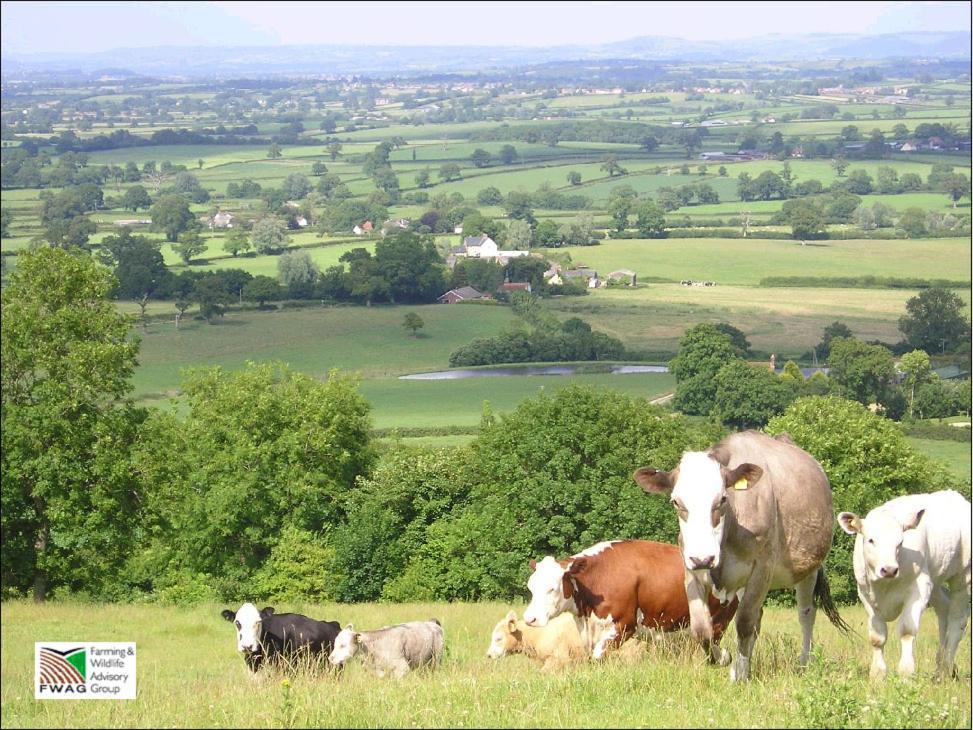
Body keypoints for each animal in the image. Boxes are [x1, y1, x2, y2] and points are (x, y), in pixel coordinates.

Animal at [524, 536, 736, 660]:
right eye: (531, 587)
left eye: (551, 588)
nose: (529, 619)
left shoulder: (624, 624)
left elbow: (597, 656)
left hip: (718, 621)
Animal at [636, 430, 848, 680]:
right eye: (676, 502)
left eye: (722, 499)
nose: (703, 558)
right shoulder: (691, 570)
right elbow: (702, 629)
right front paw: (726, 659)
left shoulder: (762, 568)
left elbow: (745, 622)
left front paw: (740, 676)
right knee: (759, 617)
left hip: (809, 568)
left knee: (806, 614)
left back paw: (804, 663)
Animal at [840, 486, 968, 680]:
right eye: (871, 540)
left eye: (900, 542)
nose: (889, 569)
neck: (884, 586)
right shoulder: (865, 594)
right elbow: (877, 637)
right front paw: (877, 674)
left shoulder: (919, 589)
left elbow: (907, 630)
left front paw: (906, 672)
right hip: (935, 581)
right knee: (944, 609)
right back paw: (939, 669)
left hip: (963, 577)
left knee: (957, 620)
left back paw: (946, 668)